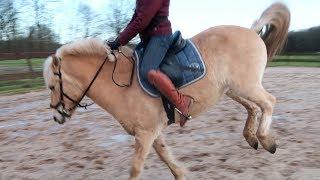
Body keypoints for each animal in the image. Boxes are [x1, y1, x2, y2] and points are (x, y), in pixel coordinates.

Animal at [43, 3, 292, 180]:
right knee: (253, 107)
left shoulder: (145, 133)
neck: (120, 84)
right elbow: (166, 157)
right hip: (233, 89)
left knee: (269, 102)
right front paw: (181, 174)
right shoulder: (151, 132)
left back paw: (265, 140)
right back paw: (252, 138)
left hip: (246, 86)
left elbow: (135, 169)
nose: (56, 116)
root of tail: (251, 32)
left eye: (52, 86)